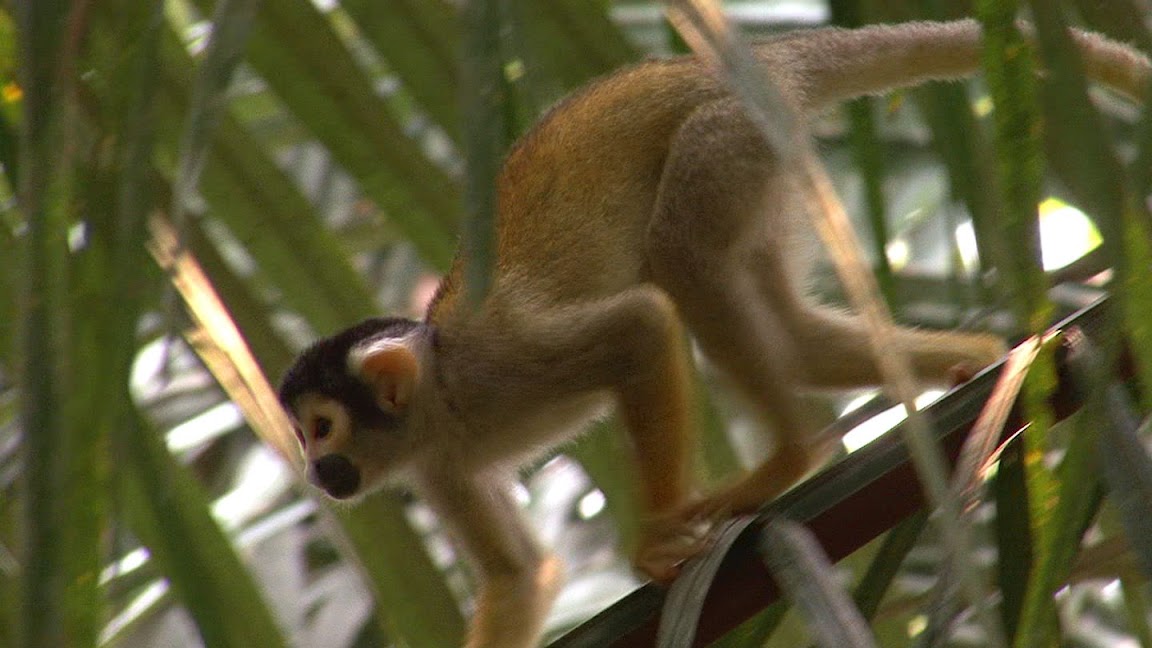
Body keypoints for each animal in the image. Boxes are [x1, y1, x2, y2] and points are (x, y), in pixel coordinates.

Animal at [276, 19, 1149, 648]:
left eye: (322, 426)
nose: (317, 470)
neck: (444, 399)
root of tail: (759, 59)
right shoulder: (437, 469)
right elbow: (519, 578)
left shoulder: (497, 363)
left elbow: (639, 328)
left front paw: (655, 536)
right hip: (771, 156)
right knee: (784, 327)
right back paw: (976, 363)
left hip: (723, 137)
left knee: (683, 263)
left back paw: (792, 454)